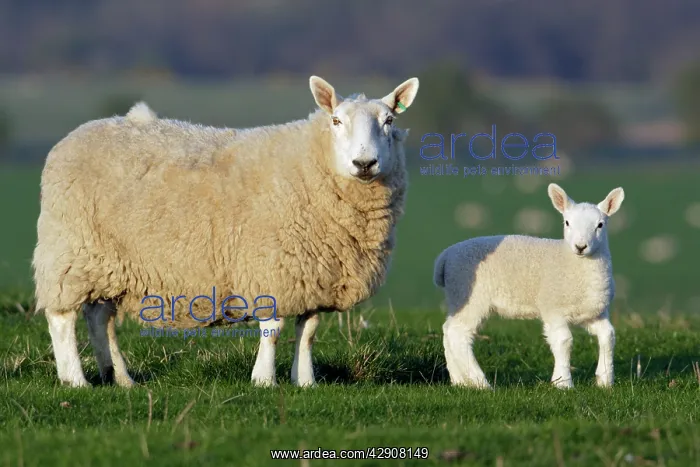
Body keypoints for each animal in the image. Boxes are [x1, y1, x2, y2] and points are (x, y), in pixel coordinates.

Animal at [32, 75, 419, 388]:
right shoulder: (272, 264)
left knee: (100, 319)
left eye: (389, 121)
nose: (365, 163)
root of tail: (74, 136)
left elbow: (307, 331)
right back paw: (75, 380)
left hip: (109, 263)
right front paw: (264, 380)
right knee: (62, 318)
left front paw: (305, 381)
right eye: (336, 120)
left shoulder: (313, 274)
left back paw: (119, 378)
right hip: (71, 250)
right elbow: (273, 330)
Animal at [433, 183, 625, 389]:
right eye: (567, 222)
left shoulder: (594, 313)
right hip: (470, 296)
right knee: (458, 334)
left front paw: (605, 380)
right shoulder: (553, 309)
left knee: (448, 330)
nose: (581, 246)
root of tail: (445, 257)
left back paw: (459, 380)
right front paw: (563, 382)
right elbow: (564, 341)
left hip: (457, 296)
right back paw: (481, 383)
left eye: (600, 225)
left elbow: (608, 336)